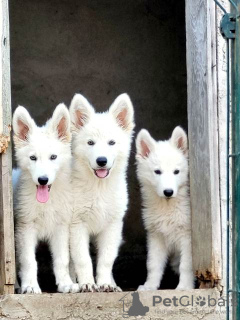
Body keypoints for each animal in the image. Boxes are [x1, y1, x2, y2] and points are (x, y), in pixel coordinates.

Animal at [12, 104, 79, 294]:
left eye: (53, 157)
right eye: (33, 158)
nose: (43, 180)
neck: (45, 203)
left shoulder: (61, 228)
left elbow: (62, 260)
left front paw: (65, 284)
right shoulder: (25, 228)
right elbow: (28, 261)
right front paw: (30, 286)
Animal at [69, 92, 134, 292]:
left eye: (111, 142)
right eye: (90, 143)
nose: (101, 161)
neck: (99, 187)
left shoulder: (112, 226)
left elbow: (106, 260)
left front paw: (105, 283)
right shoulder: (77, 225)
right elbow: (83, 259)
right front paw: (87, 284)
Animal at [136, 127, 194, 290]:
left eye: (176, 172)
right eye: (157, 172)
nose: (168, 192)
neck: (167, 207)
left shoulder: (187, 236)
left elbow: (186, 265)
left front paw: (184, 287)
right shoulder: (156, 236)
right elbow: (153, 264)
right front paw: (149, 286)